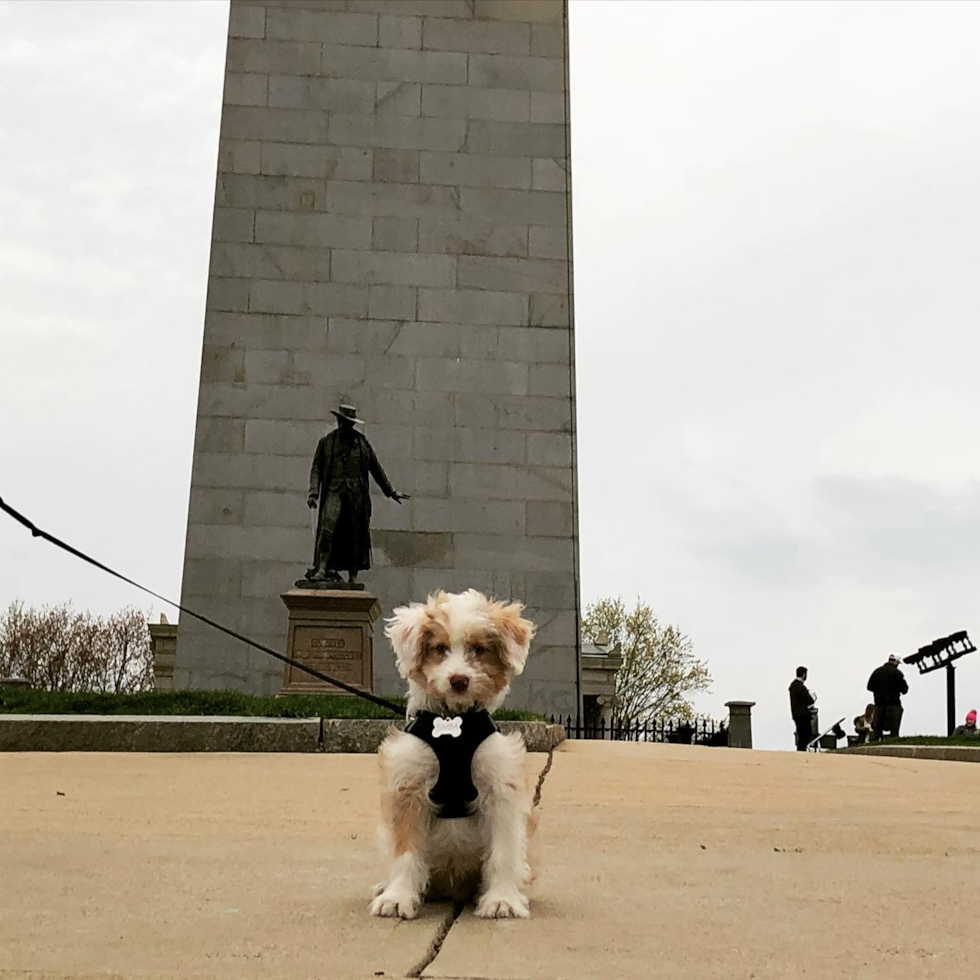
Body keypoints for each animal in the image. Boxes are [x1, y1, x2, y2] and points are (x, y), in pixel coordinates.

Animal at [372, 588, 536, 920]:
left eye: (478, 649)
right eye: (440, 648)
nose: (459, 680)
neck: (453, 725)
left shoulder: (500, 790)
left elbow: (503, 850)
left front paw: (502, 899)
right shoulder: (408, 786)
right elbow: (405, 849)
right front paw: (398, 897)